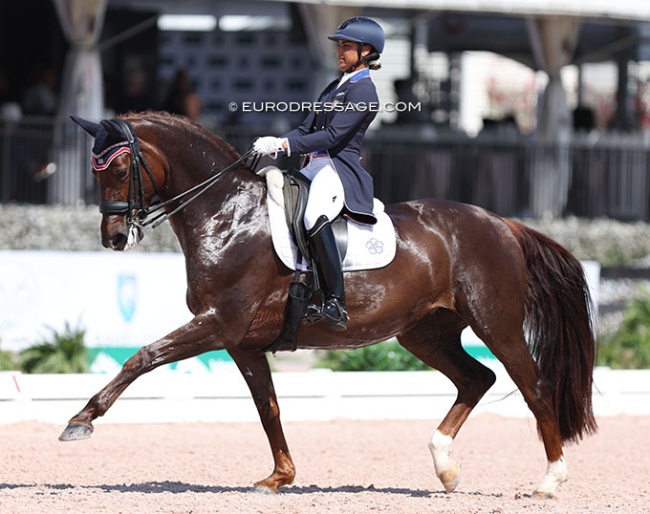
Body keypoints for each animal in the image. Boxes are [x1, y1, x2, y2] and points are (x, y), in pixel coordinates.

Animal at [58, 111, 596, 496]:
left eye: (120, 167)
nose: (113, 237)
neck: (228, 214)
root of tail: (503, 223)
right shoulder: (242, 343)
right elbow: (268, 407)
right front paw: (279, 476)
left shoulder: (219, 325)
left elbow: (142, 357)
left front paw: (80, 421)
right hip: (425, 333)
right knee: (476, 378)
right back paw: (445, 466)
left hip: (496, 324)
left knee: (534, 387)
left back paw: (549, 482)